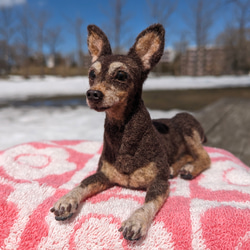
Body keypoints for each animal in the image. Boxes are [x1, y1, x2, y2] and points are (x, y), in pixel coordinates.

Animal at [50, 23, 211, 240]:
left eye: (120, 75)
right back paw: (176, 167)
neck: (123, 134)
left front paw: (136, 221)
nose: (92, 94)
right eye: (92, 74)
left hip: (188, 128)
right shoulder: (103, 175)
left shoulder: (159, 183)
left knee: (205, 157)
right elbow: (82, 184)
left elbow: (149, 203)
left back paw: (190, 168)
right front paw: (67, 200)